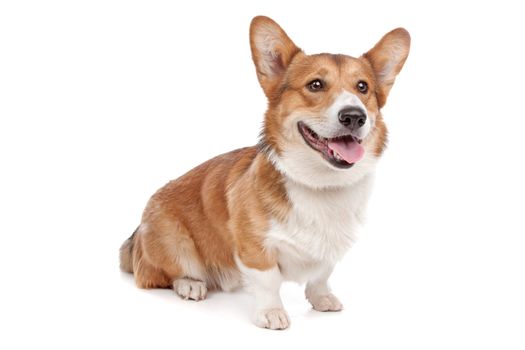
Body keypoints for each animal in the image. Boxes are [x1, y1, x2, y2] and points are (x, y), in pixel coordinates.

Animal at [118, 15, 410, 328]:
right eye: (315, 84)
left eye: (362, 87)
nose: (355, 116)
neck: (320, 184)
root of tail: (137, 232)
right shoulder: (253, 246)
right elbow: (268, 280)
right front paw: (271, 312)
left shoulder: (331, 249)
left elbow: (321, 275)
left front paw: (322, 298)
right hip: (174, 242)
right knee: (153, 275)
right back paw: (190, 284)